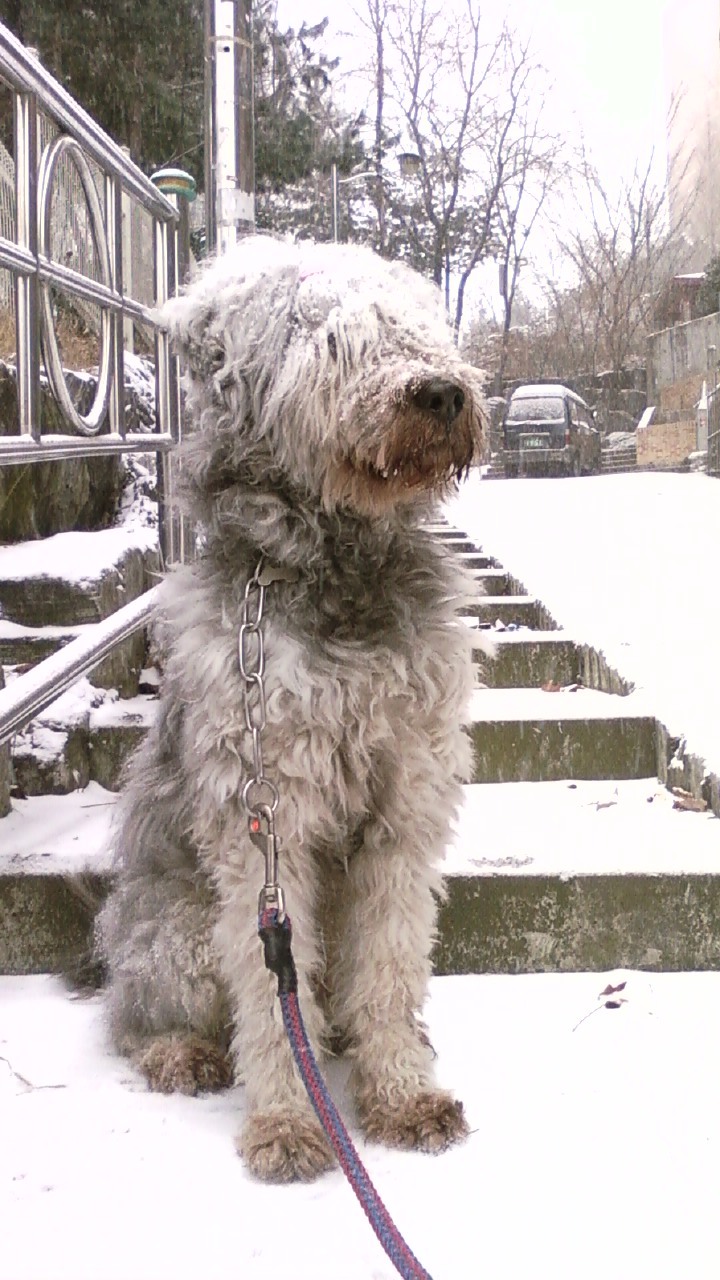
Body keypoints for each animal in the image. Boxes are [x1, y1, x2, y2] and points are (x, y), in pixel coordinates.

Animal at [99, 235, 488, 1183]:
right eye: (336, 340)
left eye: (419, 327)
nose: (440, 393)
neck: (337, 567)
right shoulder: (263, 817)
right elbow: (271, 993)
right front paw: (289, 1122)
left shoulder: (405, 804)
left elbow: (390, 967)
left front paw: (403, 1094)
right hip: (178, 935)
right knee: (140, 1016)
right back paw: (180, 1052)